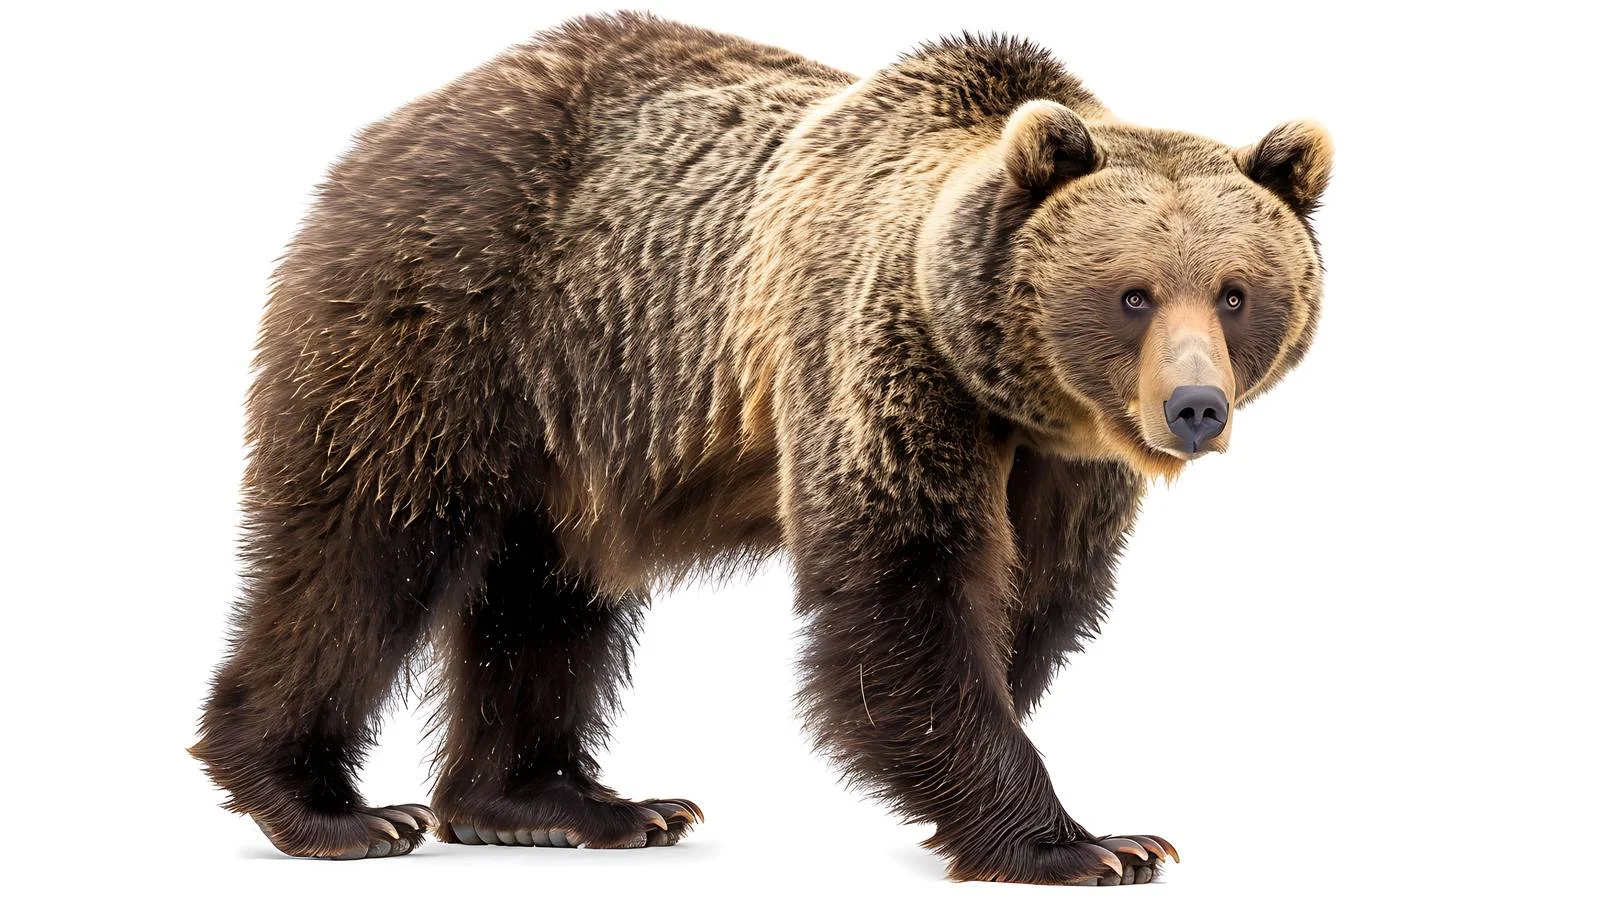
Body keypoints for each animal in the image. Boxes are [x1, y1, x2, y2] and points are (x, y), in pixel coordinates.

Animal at [192, 11, 1330, 886]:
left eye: (1236, 291)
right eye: (1133, 294)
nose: (1194, 408)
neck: (1003, 381)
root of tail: (394, 124)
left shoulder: (1068, 459)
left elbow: (1037, 597)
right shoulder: (875, 358)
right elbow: (901, 587)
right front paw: (1083, 844)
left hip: (579, 409)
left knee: (545, 591)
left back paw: (559, 799)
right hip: (450, 322)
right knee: (364, 546)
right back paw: (330, 807)